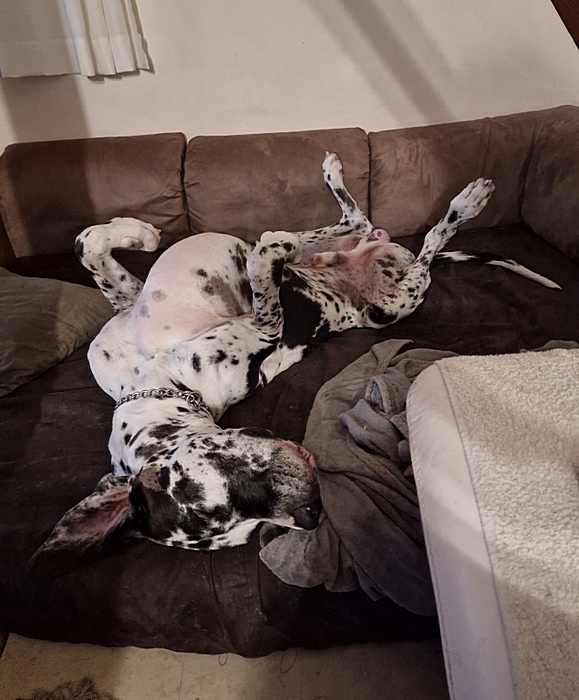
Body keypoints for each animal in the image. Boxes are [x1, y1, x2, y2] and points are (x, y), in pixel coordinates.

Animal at [38, 153, 559, 555]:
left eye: (201, 489)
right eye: (238, 521)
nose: (310, 512)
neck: (159, 384)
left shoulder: (136, 308)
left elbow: (89, 245)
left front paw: (137, 233)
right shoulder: (265, 330)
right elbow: (260, 274)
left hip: (371, 271)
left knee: (364, 225)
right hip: (392, 305)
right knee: (413, 240)